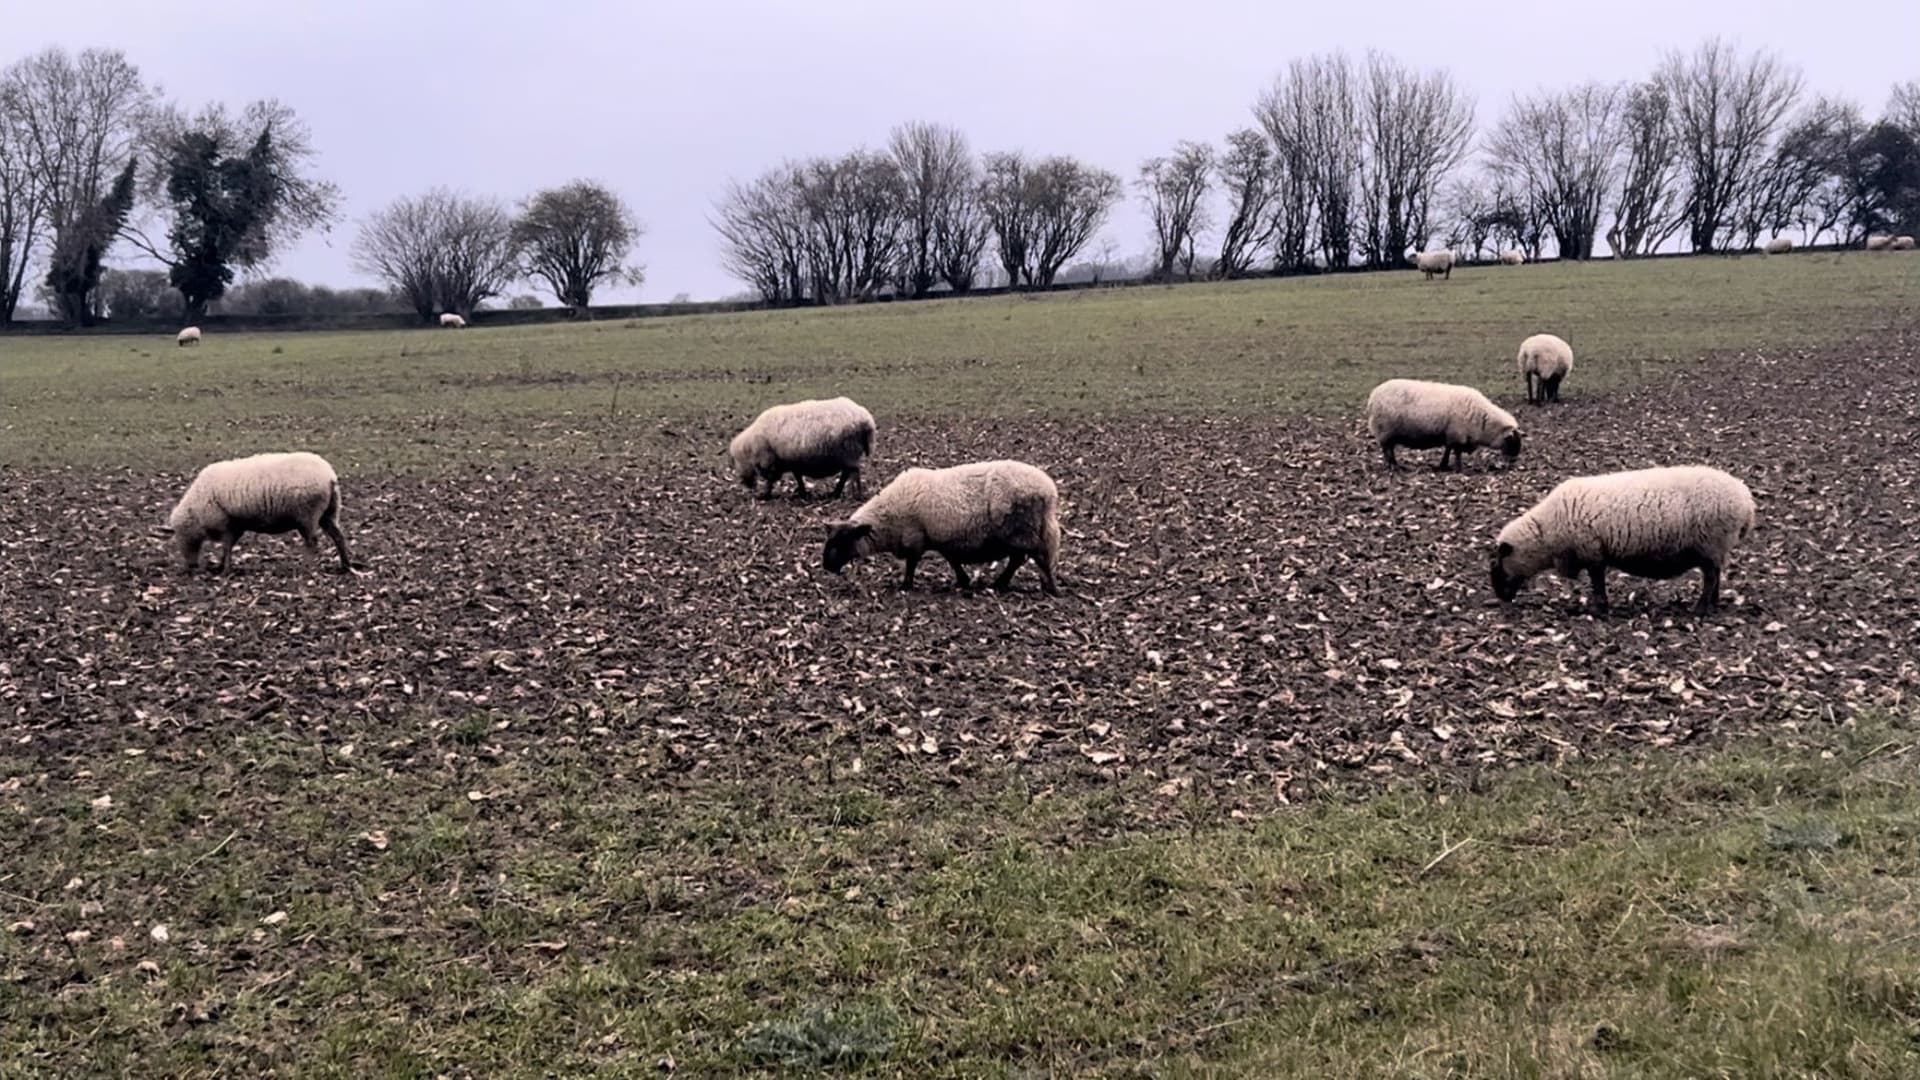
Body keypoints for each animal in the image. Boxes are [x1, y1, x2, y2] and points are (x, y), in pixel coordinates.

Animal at [165, 451, 351, 574]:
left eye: (179, 535)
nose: (191, 566)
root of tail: (329, 476)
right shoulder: (236, 525)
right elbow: (228, 547)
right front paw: (221, 566)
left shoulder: (225, 524)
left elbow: (227, 546)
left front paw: (225, 570)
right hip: (329, 512)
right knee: (338, 537)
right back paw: (345, 565)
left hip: (307, 515)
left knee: (312, 542)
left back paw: (308, 568)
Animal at [729, 396, 875, 500]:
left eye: (736, 460)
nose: (746, 483)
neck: (751, 448)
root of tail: (867, 421)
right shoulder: (792, 462)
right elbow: (798, 477)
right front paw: (803, 493)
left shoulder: (770, 462)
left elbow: (770, 481)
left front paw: (765, 496)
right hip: (848, 455)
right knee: (847, 474)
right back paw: (836, 493)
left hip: (849, 452)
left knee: (854, 474)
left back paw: (855, 495)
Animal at [822, 460, 1061, 595]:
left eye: (842, 541)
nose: (826, 566)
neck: (887, 519)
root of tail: (1048, 491)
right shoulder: (942, 539)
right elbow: (953, 560)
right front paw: (963, 582)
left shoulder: (915, 539)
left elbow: (912, 564)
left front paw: (905, 587)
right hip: (1025, 531)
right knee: (1022, 558)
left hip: (1021, 530)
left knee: (1031, 557)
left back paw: (1044, 587)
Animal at [1365, 378, 1521, 471]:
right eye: (1512, 441)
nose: (1514, 460)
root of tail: (1373, 396)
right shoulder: (1456, 434)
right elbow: (1456, 452)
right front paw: (1457, 467)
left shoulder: (1451, 435)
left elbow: (1448, 449)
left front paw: (1444, 465)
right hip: (1384, 429)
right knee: (1386, 449)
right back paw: (1392, 465)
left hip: (1388, 432)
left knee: (1389, 448)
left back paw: (1395, 464)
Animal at [1490, 465, 1754, 614]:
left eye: (1499, 564)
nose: (1501, 598)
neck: (1547, 534)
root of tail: (1746, 501)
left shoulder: (1592, 551)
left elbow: (1597, 582)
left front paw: (1598, 609)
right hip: (1716, 548)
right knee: (1717, 575)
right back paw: (1713, 605)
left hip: (1710, 543)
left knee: (1710, 577)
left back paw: (1699, 609)